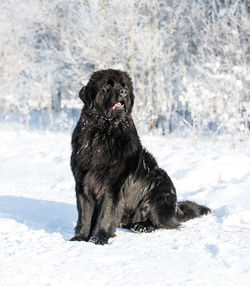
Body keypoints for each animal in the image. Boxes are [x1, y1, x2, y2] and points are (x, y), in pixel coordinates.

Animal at [69, 68, 210, 244]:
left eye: (124, 87)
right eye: (107, 86)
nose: (123, 92)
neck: (102, 133)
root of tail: (176, 209)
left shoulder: (112, 185)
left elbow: (106, 212)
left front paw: (99, 237)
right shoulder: (82, 182)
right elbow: (84, 213)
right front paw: (80, 237)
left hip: (159, 192)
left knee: (164, 223)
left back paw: (143, 226)